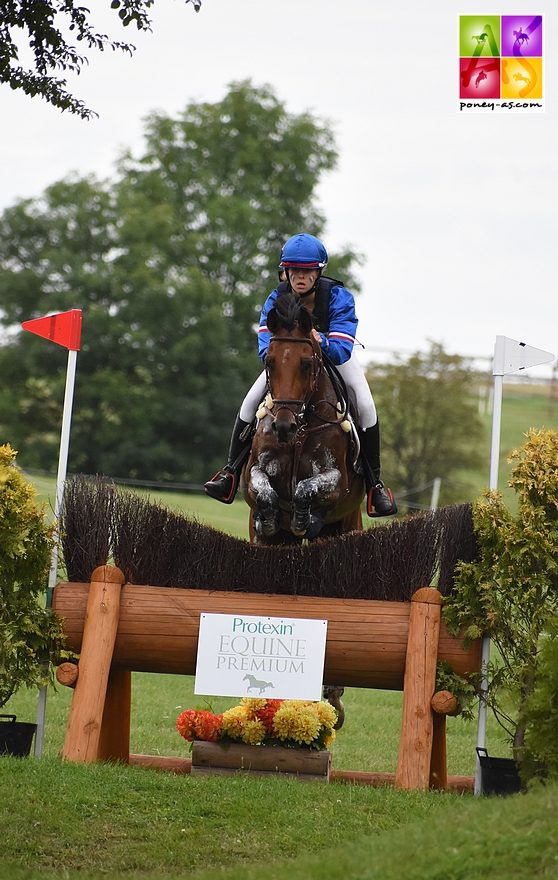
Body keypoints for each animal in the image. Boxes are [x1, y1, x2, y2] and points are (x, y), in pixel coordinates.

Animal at [242, 292, 366, 544]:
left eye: (307, 364)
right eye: (269, 361)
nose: (283, 427)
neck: (299, 432)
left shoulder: (338, 483)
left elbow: (304, 489)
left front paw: (302, 520)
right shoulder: (254, 473)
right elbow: (265, 493)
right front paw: (267, 521)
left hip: (349, 522)